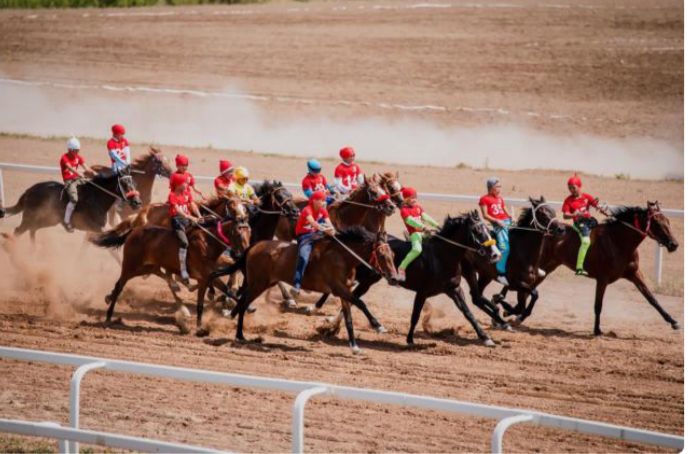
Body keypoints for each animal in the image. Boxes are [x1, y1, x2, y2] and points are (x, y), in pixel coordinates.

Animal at [2, 168, 143, 241]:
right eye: (124, 184)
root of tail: (29, 191)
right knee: (18, 230)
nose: (138, 202)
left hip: (48, 220)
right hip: (29, 218)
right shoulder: (97, 228)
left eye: (134, 183)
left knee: (32, 229)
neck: (97, 197)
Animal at [89, 199, 251, 330]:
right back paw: (108, 315)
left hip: (146, 267)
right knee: (120, 286)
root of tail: (133, 231)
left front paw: (241, 305)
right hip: (131, 266)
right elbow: (202, 301)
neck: (208, 242)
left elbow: (227, 287)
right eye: (238, 233)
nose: (244, 252)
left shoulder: (211, 274)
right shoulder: (205, 276)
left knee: (158, 275)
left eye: (249, 232)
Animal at [228, 229, 398, 352]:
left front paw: (354, 347)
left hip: (262, 283)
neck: (342, 257)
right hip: (258, 284)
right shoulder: (339, 288)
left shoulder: (344, 291)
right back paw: (239, 335)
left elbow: (349, 318)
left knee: (242, 300)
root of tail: (254, 246)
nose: (394, 278)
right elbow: (360, 303)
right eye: (381, 255)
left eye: (393, 254)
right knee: (243, 304)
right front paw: (378, 326)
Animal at [308, 211, 502, 346]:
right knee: (345, 293)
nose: (495, 254)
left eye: (488, 229)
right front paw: (409, 339)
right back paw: (319, 312)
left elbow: (468, 313)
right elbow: (415, 315)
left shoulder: (453, 289)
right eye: (477, 230)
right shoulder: (422, 292)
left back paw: (332, 324)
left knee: (352, 297)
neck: (441, 257)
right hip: (365, 277)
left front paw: (486, 338)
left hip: (369, 280)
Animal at [506, 200, 680, 336]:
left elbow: (652, 298)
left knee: (527, 289)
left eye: (668, 221)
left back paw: (516, 313)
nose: (674, 244)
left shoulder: (635, 274)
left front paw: (673, 321)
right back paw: (513, 312)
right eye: (657, 223)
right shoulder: (602, 279)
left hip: (548, 268)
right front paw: (597, 330)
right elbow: (598, 305)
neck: (618, 242)